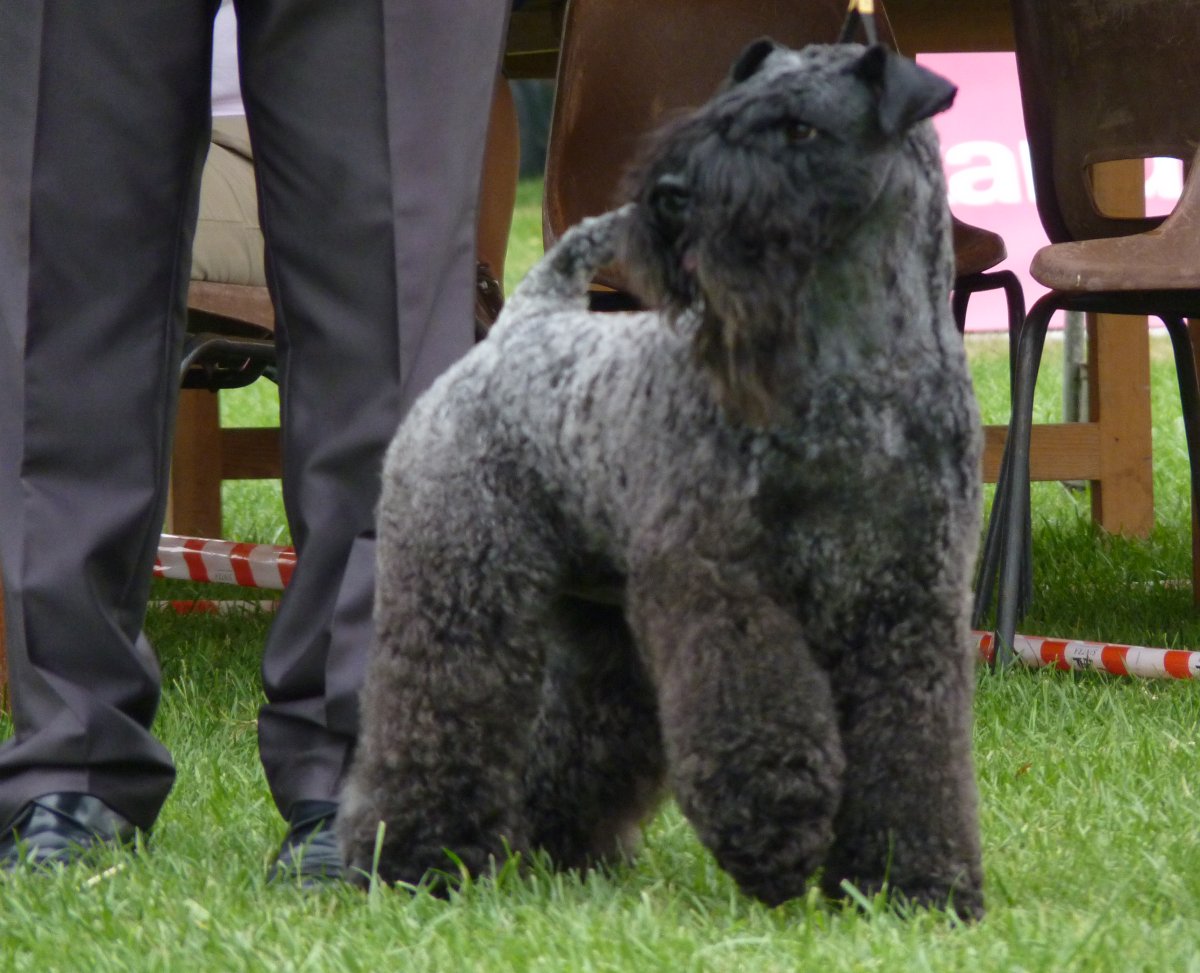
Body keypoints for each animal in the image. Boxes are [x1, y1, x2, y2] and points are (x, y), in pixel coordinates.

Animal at [339, 39, 984, 919]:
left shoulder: (911, 603)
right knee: (434, 715)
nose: (672, 196)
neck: (859, 376)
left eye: (800, 128)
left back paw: (560, 847)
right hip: (461, 591)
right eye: (719, 114)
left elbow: (916, 752)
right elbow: (760, 715)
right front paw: (778, 833)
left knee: (576, 730)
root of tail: (520, 326)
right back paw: (412, 855)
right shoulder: (721, 582)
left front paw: (914, 885)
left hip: (600, 623)